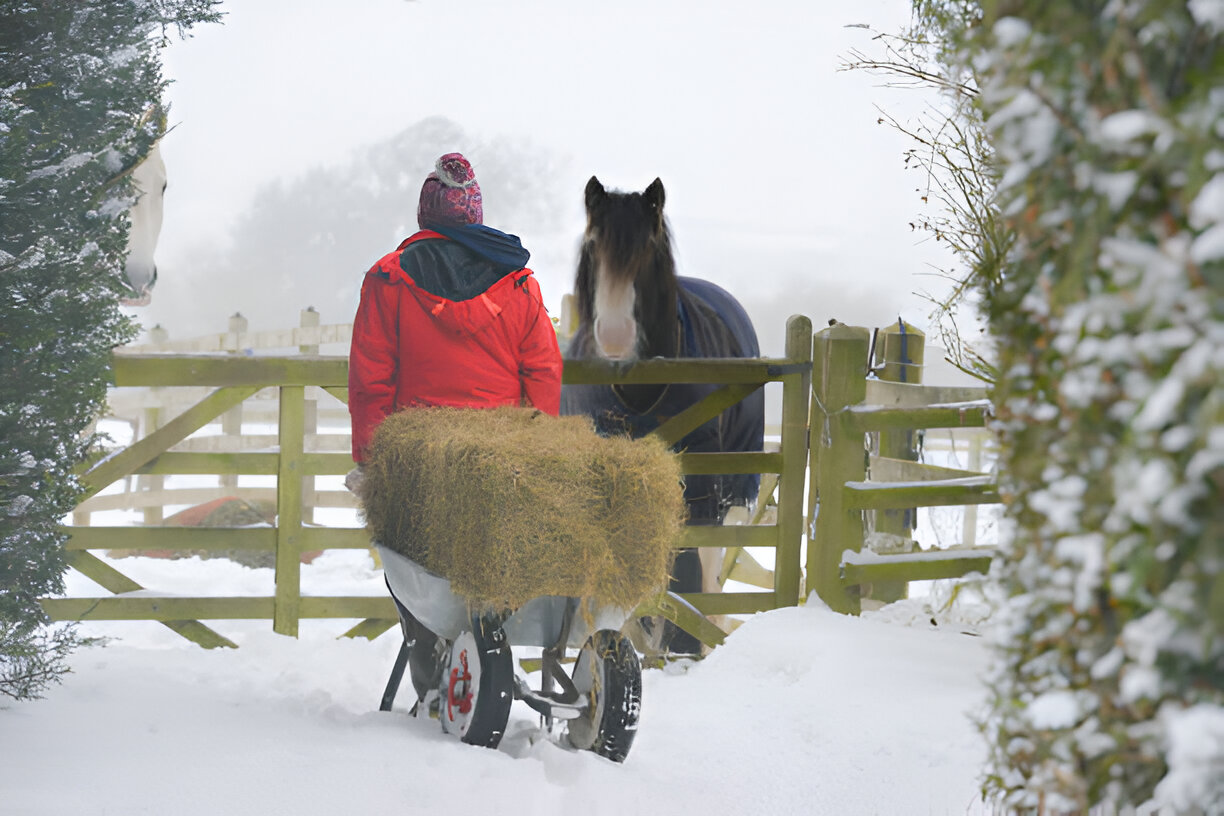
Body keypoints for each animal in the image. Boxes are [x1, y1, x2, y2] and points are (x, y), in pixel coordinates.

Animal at [560, 176, 753, 655]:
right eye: (593, 243)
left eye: (646, 249)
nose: (614, 336)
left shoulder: (702, 484)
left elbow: (694, 564)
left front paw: (684, 642)